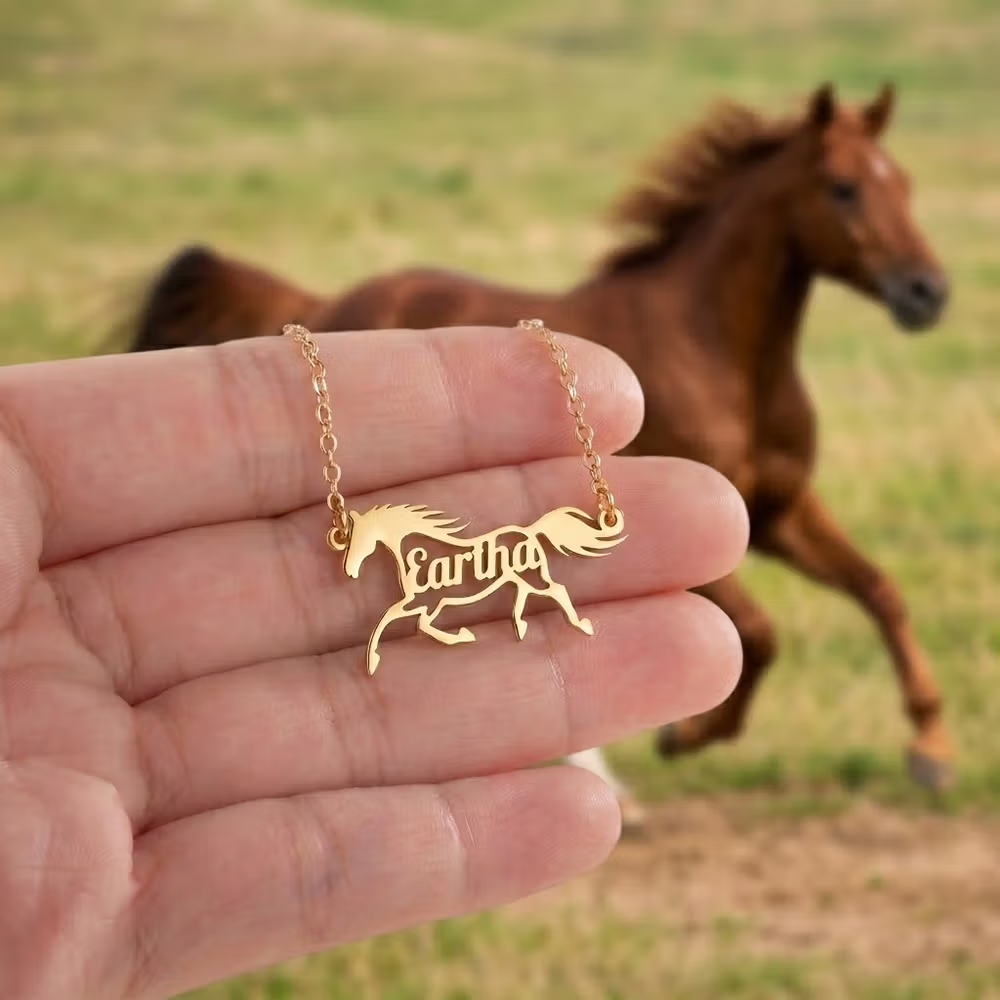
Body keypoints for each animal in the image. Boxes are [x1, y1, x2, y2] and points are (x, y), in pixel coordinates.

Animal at [338, 503, 625, 675]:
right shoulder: (425, 604)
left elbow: (403, 621)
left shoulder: (426, 602)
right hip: (520, 577)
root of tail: (530, 531)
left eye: (359, 538)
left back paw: (581, 625)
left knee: (558, 590)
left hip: (532, 575)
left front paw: (372, 662)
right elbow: (404, 622)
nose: (349, 570)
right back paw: (520, 628)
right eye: (348, 539)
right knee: (524, 595)